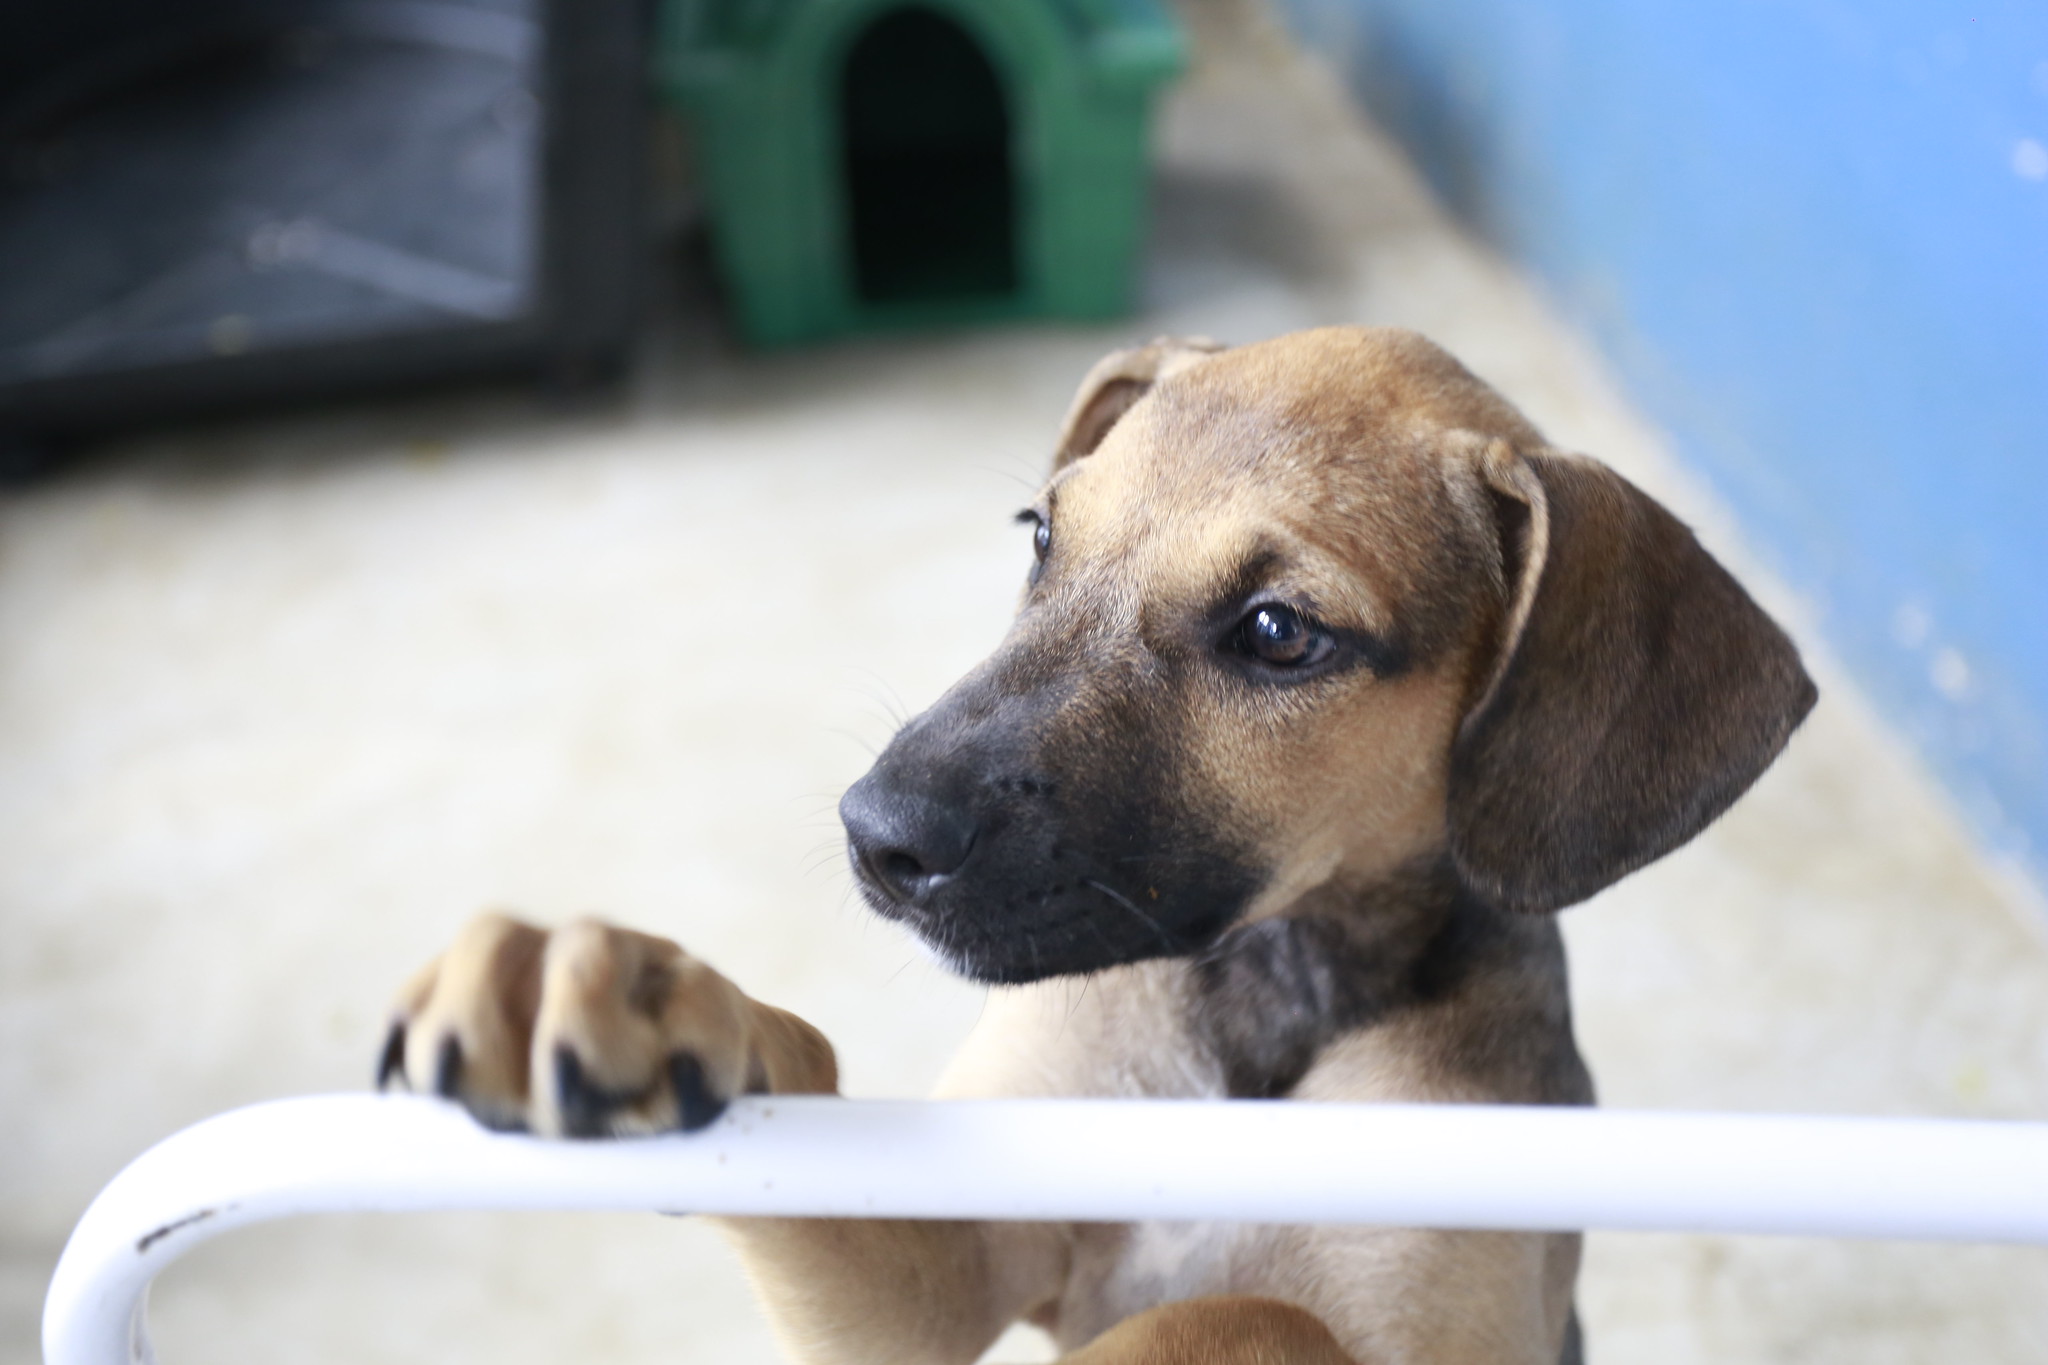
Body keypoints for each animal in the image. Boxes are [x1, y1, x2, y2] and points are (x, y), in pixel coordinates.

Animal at [380, 331, 1810, 1365]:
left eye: (1279, 632)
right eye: (1041, 537)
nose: (875, 835)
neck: (1258, 1010)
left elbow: (1248, 1310)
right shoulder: (949, 1261)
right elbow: (801, 1077)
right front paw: (613, 984)